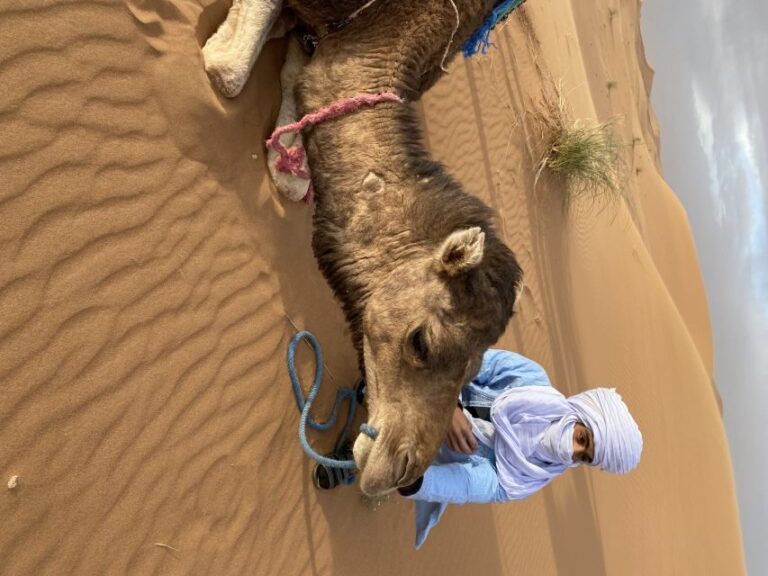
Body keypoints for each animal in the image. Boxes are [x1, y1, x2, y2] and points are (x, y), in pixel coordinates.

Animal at [203, 0, 524, 496]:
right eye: (421, 342)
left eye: (473, 373)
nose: (405, 474)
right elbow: (226, 71)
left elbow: (302, 97)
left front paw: (286, 155)